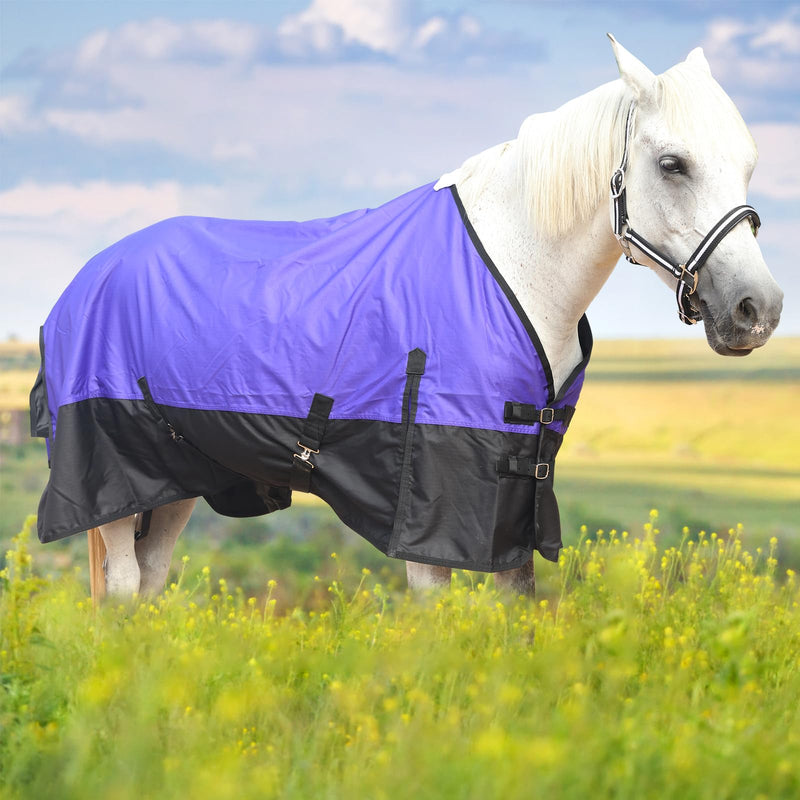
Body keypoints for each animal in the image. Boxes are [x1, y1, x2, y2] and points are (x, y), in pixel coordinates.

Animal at [30, 35, 783, 601]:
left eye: (749, 163)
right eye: (673, 164)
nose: (759, 310)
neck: (513, 269)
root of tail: (87, 277)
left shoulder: (513, 506)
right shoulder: (431, 511)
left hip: (178, 481)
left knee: (147, 586)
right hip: (117, 478)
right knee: (122, 589)